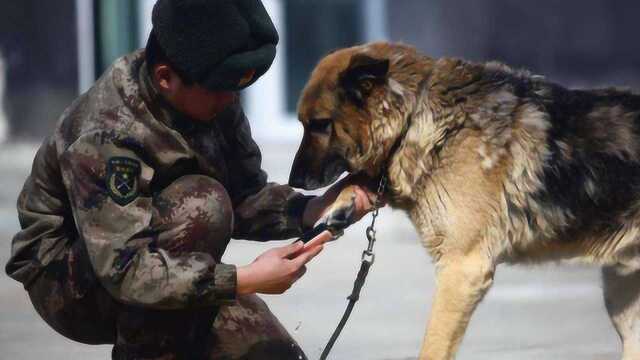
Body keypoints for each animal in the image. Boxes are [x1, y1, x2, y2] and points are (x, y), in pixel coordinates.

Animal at [288, 43, 640, 360]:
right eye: (304, 124)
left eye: (320, 124)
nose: (293, 183)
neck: (417, 115)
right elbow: (355, 179)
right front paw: (338, 205)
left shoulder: (461, 270)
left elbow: (432, 348)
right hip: (623, 300)